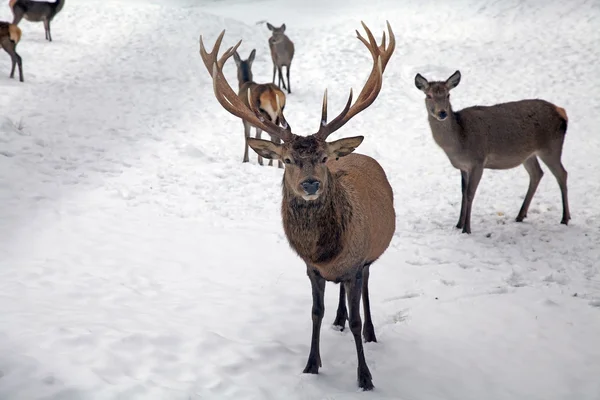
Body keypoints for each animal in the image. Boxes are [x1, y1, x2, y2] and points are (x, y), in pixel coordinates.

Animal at [202, 20, 396, 390]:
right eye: (288, 159)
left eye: (322, 158)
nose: (310, 183)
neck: (327, 252)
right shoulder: (311, 269)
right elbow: (315, 313)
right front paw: (311, 365)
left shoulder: (355, 263)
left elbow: (356, 319)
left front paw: (365, 377)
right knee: (340, 303)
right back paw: (337, 319)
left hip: (369, 258)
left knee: (365, 292)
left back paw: (371, 332)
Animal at [414, 70, 568, 234]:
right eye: (428, 95)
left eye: (448, 94)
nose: (442, 113)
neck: (459, 143)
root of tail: (562, 111)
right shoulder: (463, 167)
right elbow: (463, 193)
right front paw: (458, 224)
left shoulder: (478, 161)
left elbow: (470, 194)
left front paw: (467, 229)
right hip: (529, 154)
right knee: (537, 173)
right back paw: (520, 215)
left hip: (551, 147)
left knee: (562, 174)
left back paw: (565, 218)